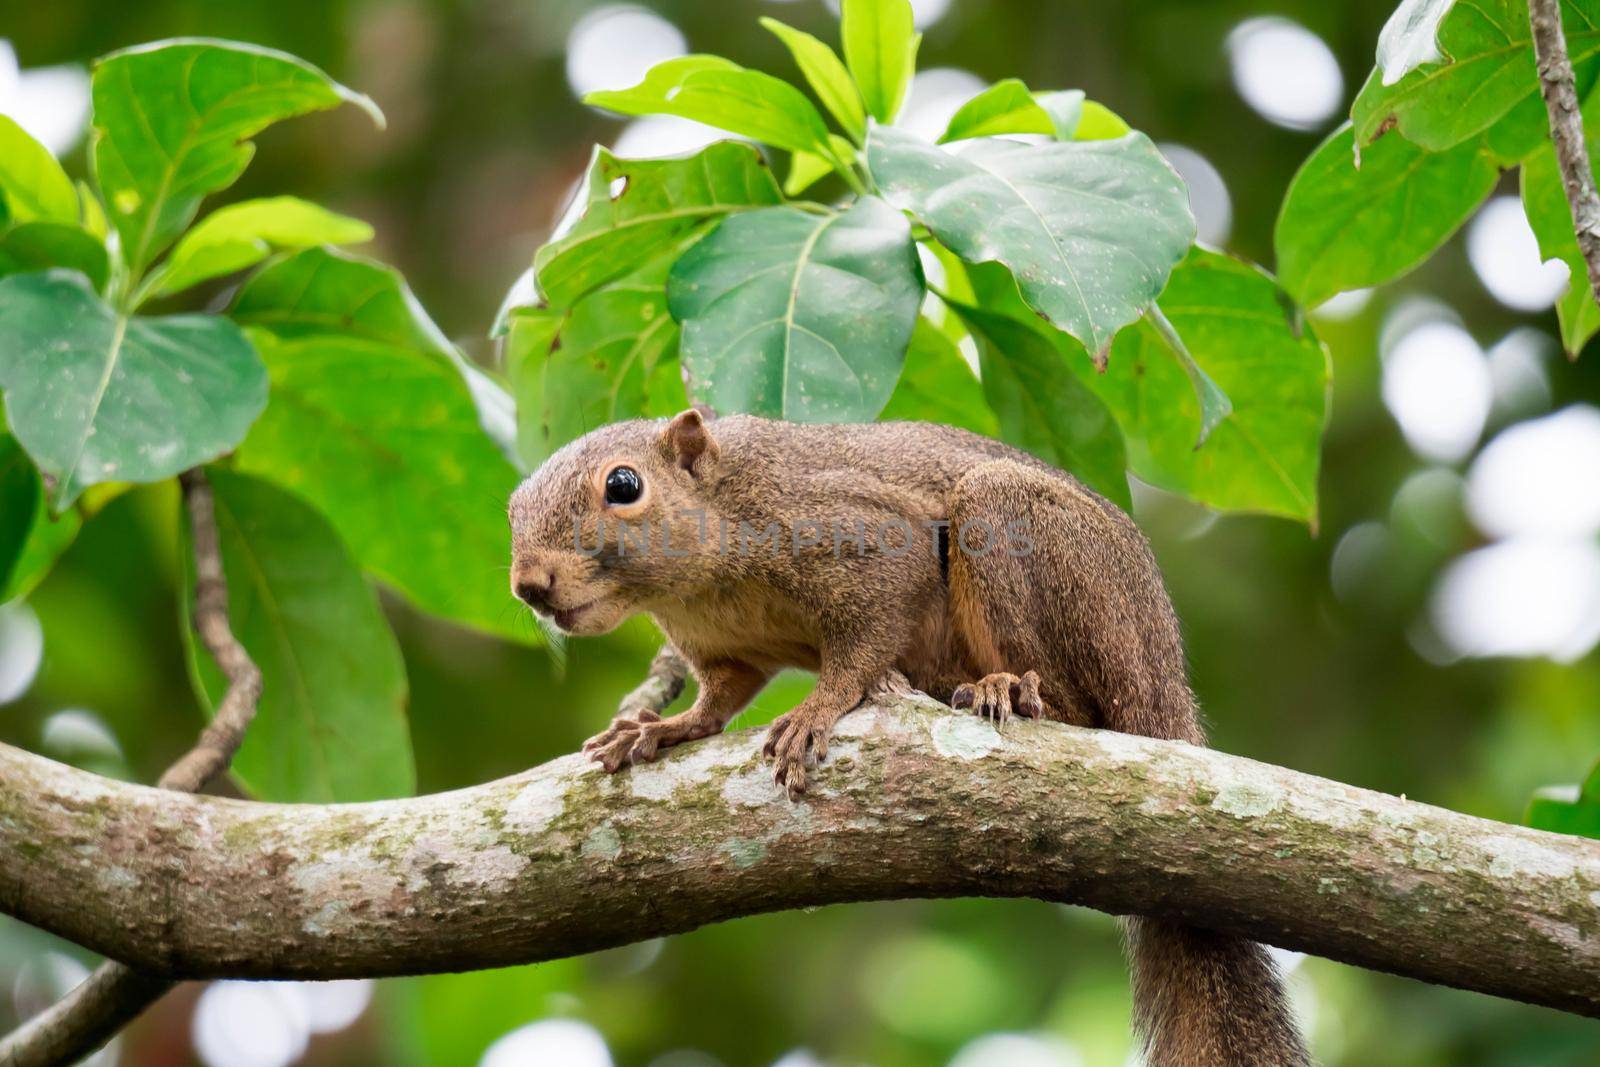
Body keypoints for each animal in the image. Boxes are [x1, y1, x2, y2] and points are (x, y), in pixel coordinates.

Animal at [512, 412, 1312, 1067]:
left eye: (623, 485)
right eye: (512, 509)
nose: (529, 585)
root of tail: (1165, 685)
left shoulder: (853, 534)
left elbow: (865, 638)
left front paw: (818, 708)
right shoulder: (721, 650)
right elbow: (718, 701)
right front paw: (656, 728)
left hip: (1027, 541)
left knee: (1082, 706)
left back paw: (1013, 690)